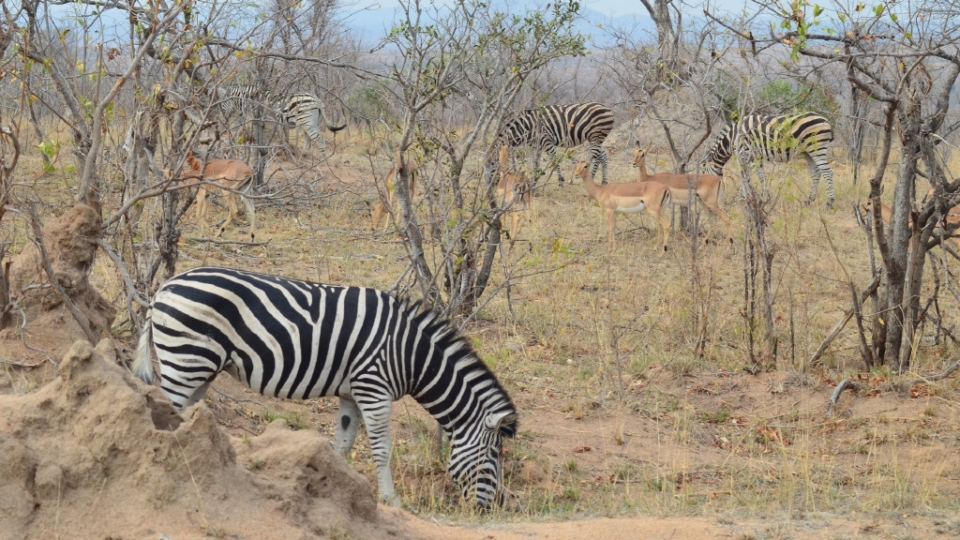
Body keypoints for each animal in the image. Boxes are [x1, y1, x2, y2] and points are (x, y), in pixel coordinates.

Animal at [134, 266, 516, 506]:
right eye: (495, 455)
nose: (490, 508)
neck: (411, 354)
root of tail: (164, 287)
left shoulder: (351, 393)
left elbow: (342, 444)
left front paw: (335, 485)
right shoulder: (374, 388)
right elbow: (382, 448)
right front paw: (391, 500)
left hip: (201, 366)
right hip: (186, 359)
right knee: (165, 410)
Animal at [700, 112, 836, 207]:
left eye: (703, 174)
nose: (702, 199)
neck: (732, 138)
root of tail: (827, 121)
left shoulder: (745, 153)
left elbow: (745, 177)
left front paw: (744, 198)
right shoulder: (756, 156)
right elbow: (762, 177)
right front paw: (764, 198)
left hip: (817, 148)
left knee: (827, 172)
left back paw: (830, 202)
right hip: (807, 152)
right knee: (816, 173)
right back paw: (808, 201)